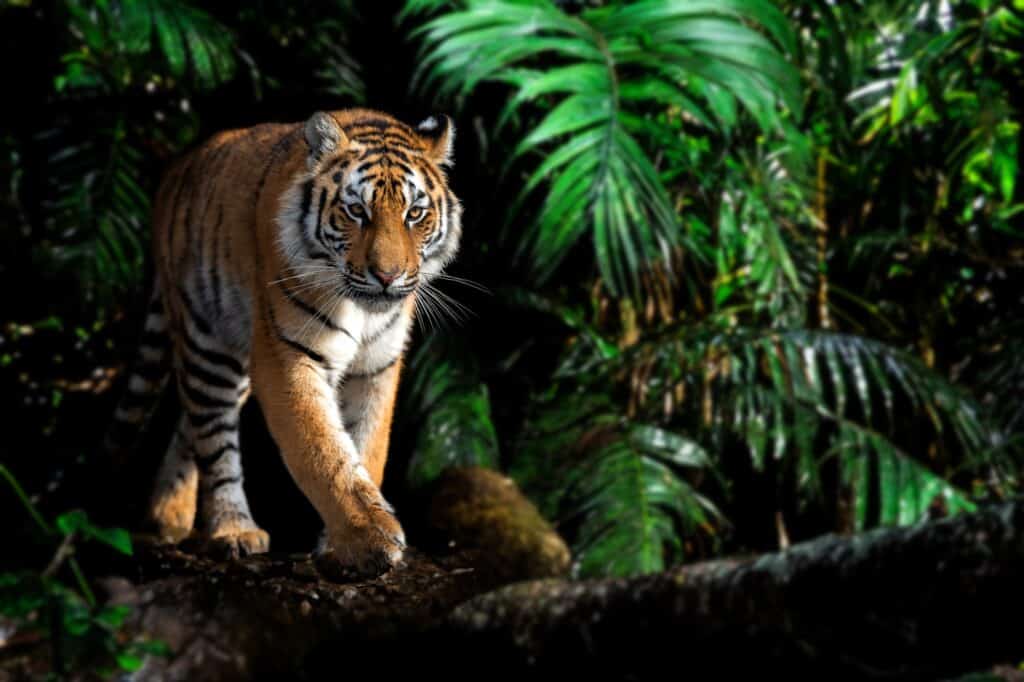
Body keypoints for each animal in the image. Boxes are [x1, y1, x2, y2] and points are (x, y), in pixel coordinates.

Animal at [102, 107, 460, 573]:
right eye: (356, 211)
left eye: (415, 214)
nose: (387, 276)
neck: (363, 310)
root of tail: (175, 169)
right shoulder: (286, 355)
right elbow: (322, 451)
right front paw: (368, 540)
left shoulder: (377, 366)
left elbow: (367, 447)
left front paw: (341, 544)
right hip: (207, 343)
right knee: (213, 438)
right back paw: (232, 530)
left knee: (190, 425)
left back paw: (168, 516)